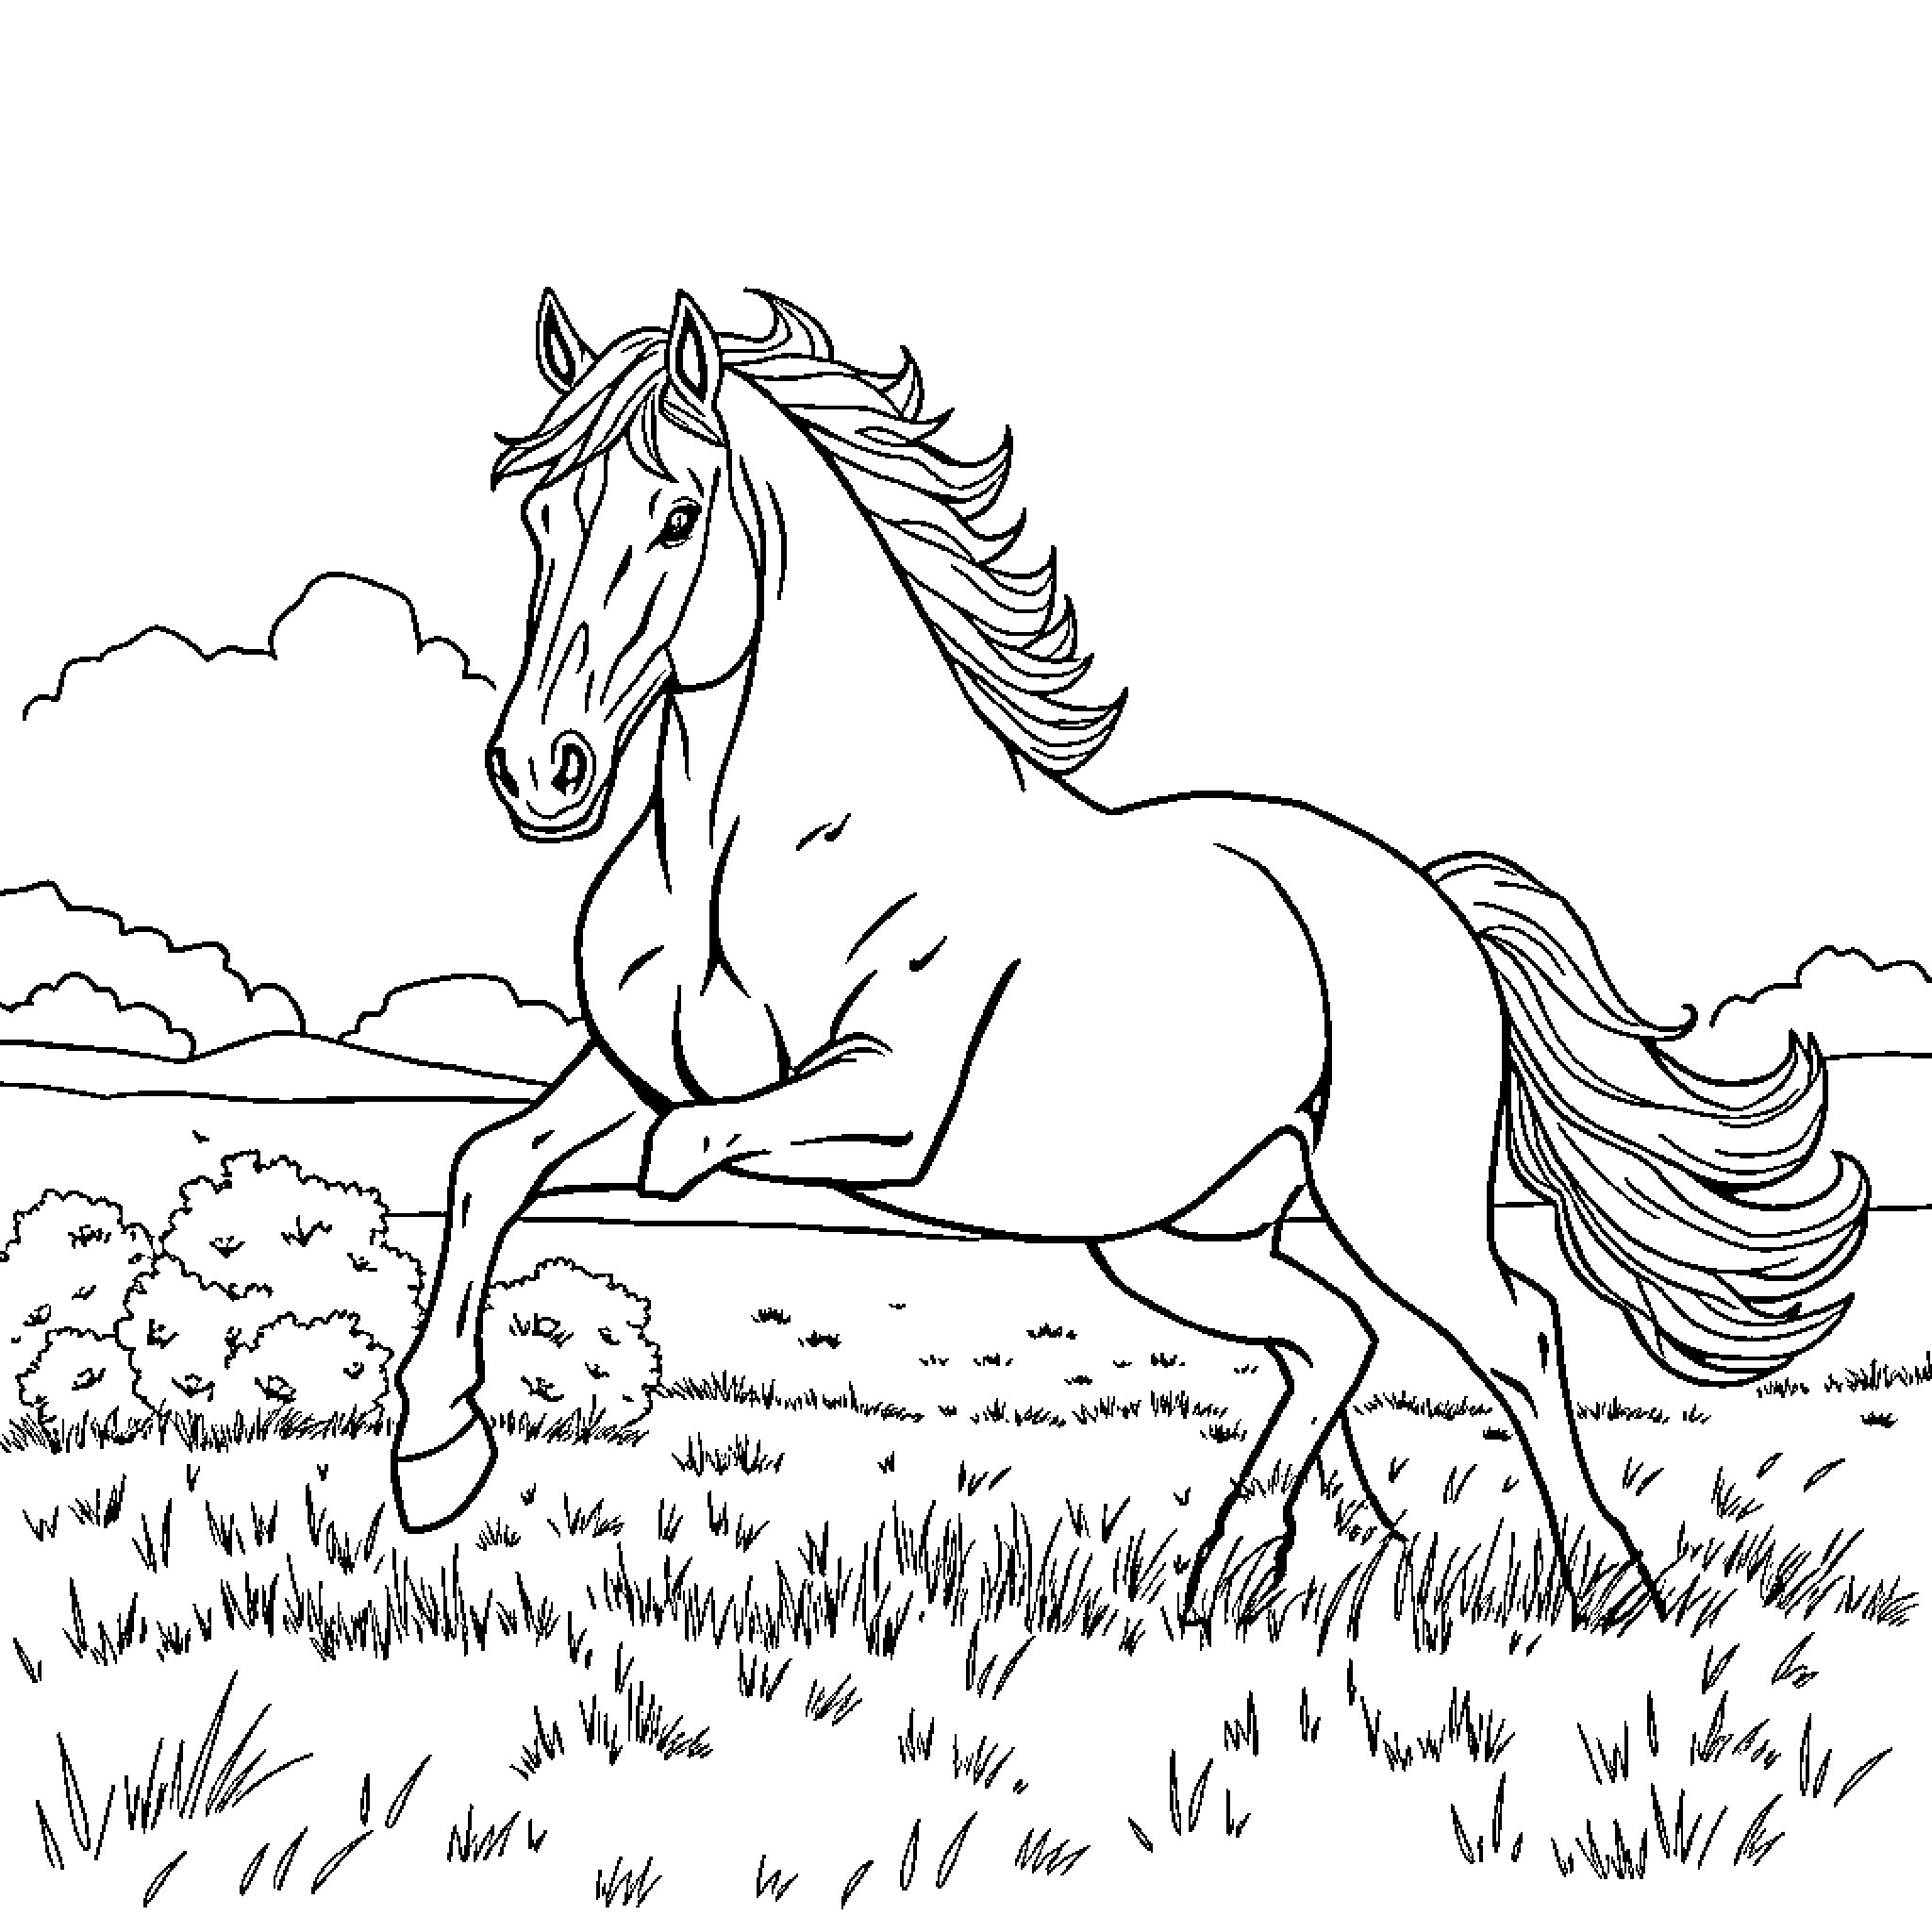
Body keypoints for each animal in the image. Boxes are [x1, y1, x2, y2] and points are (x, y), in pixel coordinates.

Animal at [390, 286, 1870, 1625]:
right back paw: (1240, 1566)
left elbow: (679, 1157)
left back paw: (1607, 1581)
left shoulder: (882, 1106)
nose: (538, 771)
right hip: (1177, 1239)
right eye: (535, 514)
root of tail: (1427, 903)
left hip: (1392, 1204)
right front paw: (431, 1455)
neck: (748, 853)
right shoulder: (627, 1070)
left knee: (1514, 1331)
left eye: (678, 517)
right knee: (1333, 1334)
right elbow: (491, 1163)